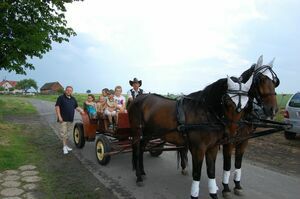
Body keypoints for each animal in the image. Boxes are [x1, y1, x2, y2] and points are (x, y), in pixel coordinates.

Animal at [221, 55, 280, 198]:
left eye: (275, 82)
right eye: (261, 79)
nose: (273, 110)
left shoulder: (244, 141)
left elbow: (238, 163)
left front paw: (237, 185)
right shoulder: (228, 142)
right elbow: (227, 164)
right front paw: (225, 188)